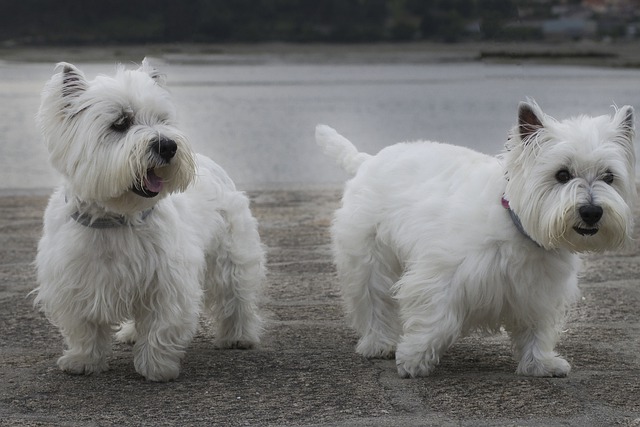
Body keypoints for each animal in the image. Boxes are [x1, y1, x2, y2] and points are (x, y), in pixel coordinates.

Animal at [33, 58, 264, 382]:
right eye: (120, 123)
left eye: (161, 119)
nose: (168, 146)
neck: (115, 217)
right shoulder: (74, 281)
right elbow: (84, 327)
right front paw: (82, 361)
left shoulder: (167, 281)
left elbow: (161, 326)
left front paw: (157, 368)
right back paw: (130, 334)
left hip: (230, 255)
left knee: (236, 296)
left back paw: (238, 337)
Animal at [318, 102, 636, 380]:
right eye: (562, 174)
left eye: (609, 177)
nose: (592, 212)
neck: (515, 224)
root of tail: (367, 160)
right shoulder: (441, 276)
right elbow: (437, 320)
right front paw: (413, 359)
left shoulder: (539, 291)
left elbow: (537, 329)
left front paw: (540, 364)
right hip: (368, 257)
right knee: (373, 301)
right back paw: (378, 344)